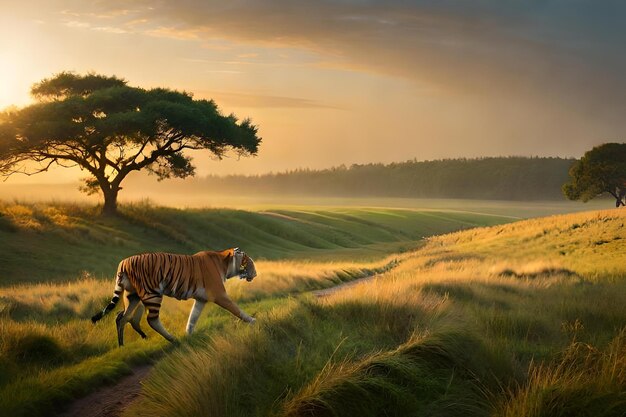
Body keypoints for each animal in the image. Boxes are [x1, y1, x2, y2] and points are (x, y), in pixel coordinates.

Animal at [90, 247, 256, 344]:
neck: (225, 264)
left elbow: (193, 317)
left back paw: (123, 345)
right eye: (249, 263)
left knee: (122, 317)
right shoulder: (219, 294)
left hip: (132, 297)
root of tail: (123, 263)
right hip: (152, 294)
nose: (255, 274)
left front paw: (188, 334)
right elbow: (236, 309)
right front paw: (252, 320)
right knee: (151, 320)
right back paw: (172, 339)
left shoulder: (201, 299)